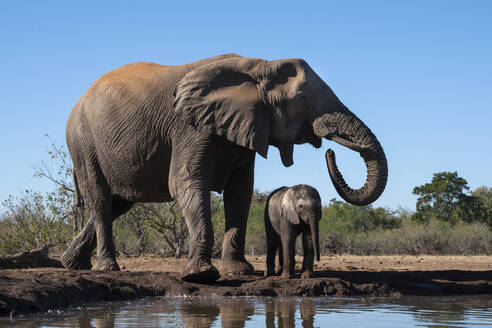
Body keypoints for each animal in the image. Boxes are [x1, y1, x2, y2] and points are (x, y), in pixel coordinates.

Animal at [61, 53, 386, 282]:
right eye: (303, 98)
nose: (330, 150)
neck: (258, 66)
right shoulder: (190, 127)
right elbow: (186, 183)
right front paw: (201, 275)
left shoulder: (248, 124)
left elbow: (240, 192)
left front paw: (239, 272)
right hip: (82, 140)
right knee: (101, 199)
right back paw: (106, 268)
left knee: (120, 203)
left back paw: (72, 263)